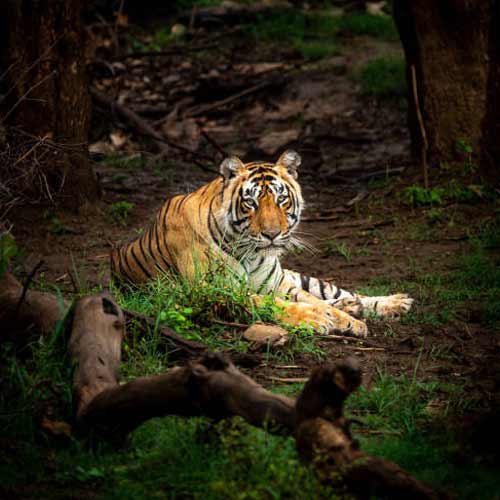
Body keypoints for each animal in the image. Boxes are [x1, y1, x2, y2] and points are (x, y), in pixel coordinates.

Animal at [111, 149, 412, 336]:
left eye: (281, 199)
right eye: (251, 202)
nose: (272, 234)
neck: (250, 253)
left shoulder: (278, 284)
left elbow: (317, 301)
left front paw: (350, 322)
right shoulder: (213, 291)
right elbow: (274, 304)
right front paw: (316, 319)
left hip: (296, 277)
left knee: (336, 292)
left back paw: (393, 302)